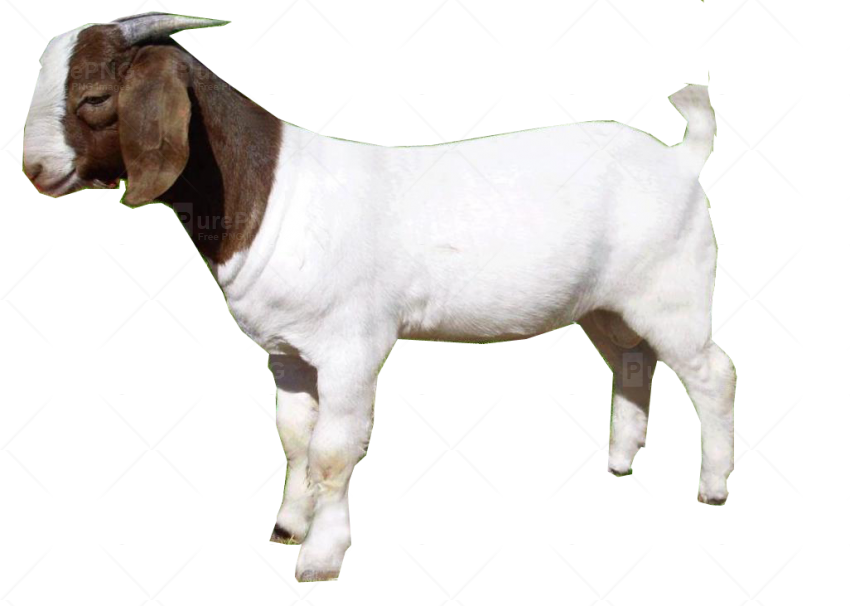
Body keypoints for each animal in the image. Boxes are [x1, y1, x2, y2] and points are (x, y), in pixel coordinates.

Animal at [23, 13, 737, 583]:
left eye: (94, 95)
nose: (33, 169)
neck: (269, 192)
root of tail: (682, 158)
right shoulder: (288, 353)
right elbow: (295, 439)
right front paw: (288, 526)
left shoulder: (351, 348)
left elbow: (334, 451)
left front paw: (320, 558)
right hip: (607, 304)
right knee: (631, 361)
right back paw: (619, 462)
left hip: (672, 291)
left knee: (712, 373)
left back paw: (713, 486)